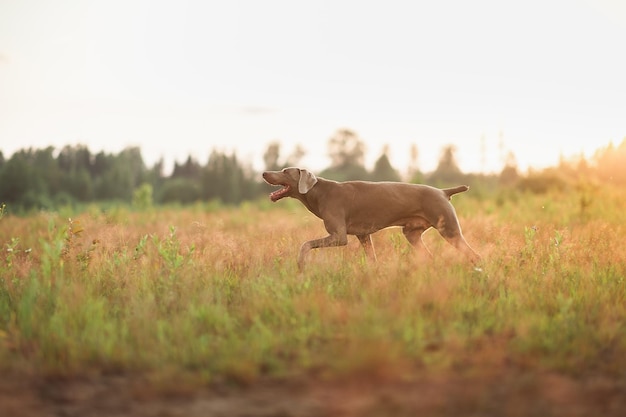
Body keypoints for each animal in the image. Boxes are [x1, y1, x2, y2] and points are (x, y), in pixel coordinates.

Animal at [260, 167, 480, 270]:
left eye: (285, 171)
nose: (263, 173)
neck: (319, 192)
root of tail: (443, 191)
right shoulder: (363, 236)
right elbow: (372, 260)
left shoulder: (339, 236)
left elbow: (305, 244)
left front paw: (300, 264)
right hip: (411, 233)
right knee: (429, 256)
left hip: (448, 229)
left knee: (474, 255)